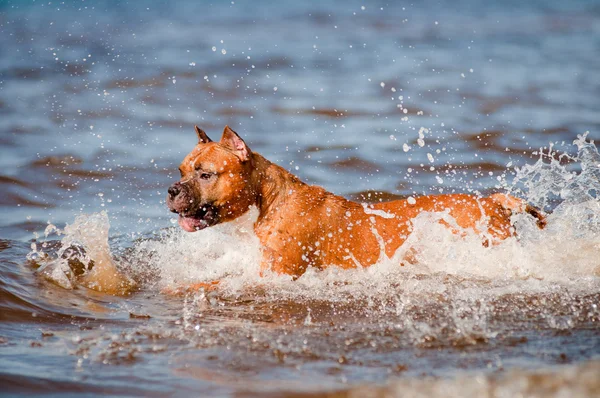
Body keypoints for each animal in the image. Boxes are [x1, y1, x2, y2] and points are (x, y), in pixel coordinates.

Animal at [166, 126, 548, 284]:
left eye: (205, 174)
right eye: (181, 170)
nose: (171, 190)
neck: (266, 203)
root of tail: (493, 202)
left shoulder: (274, 274)